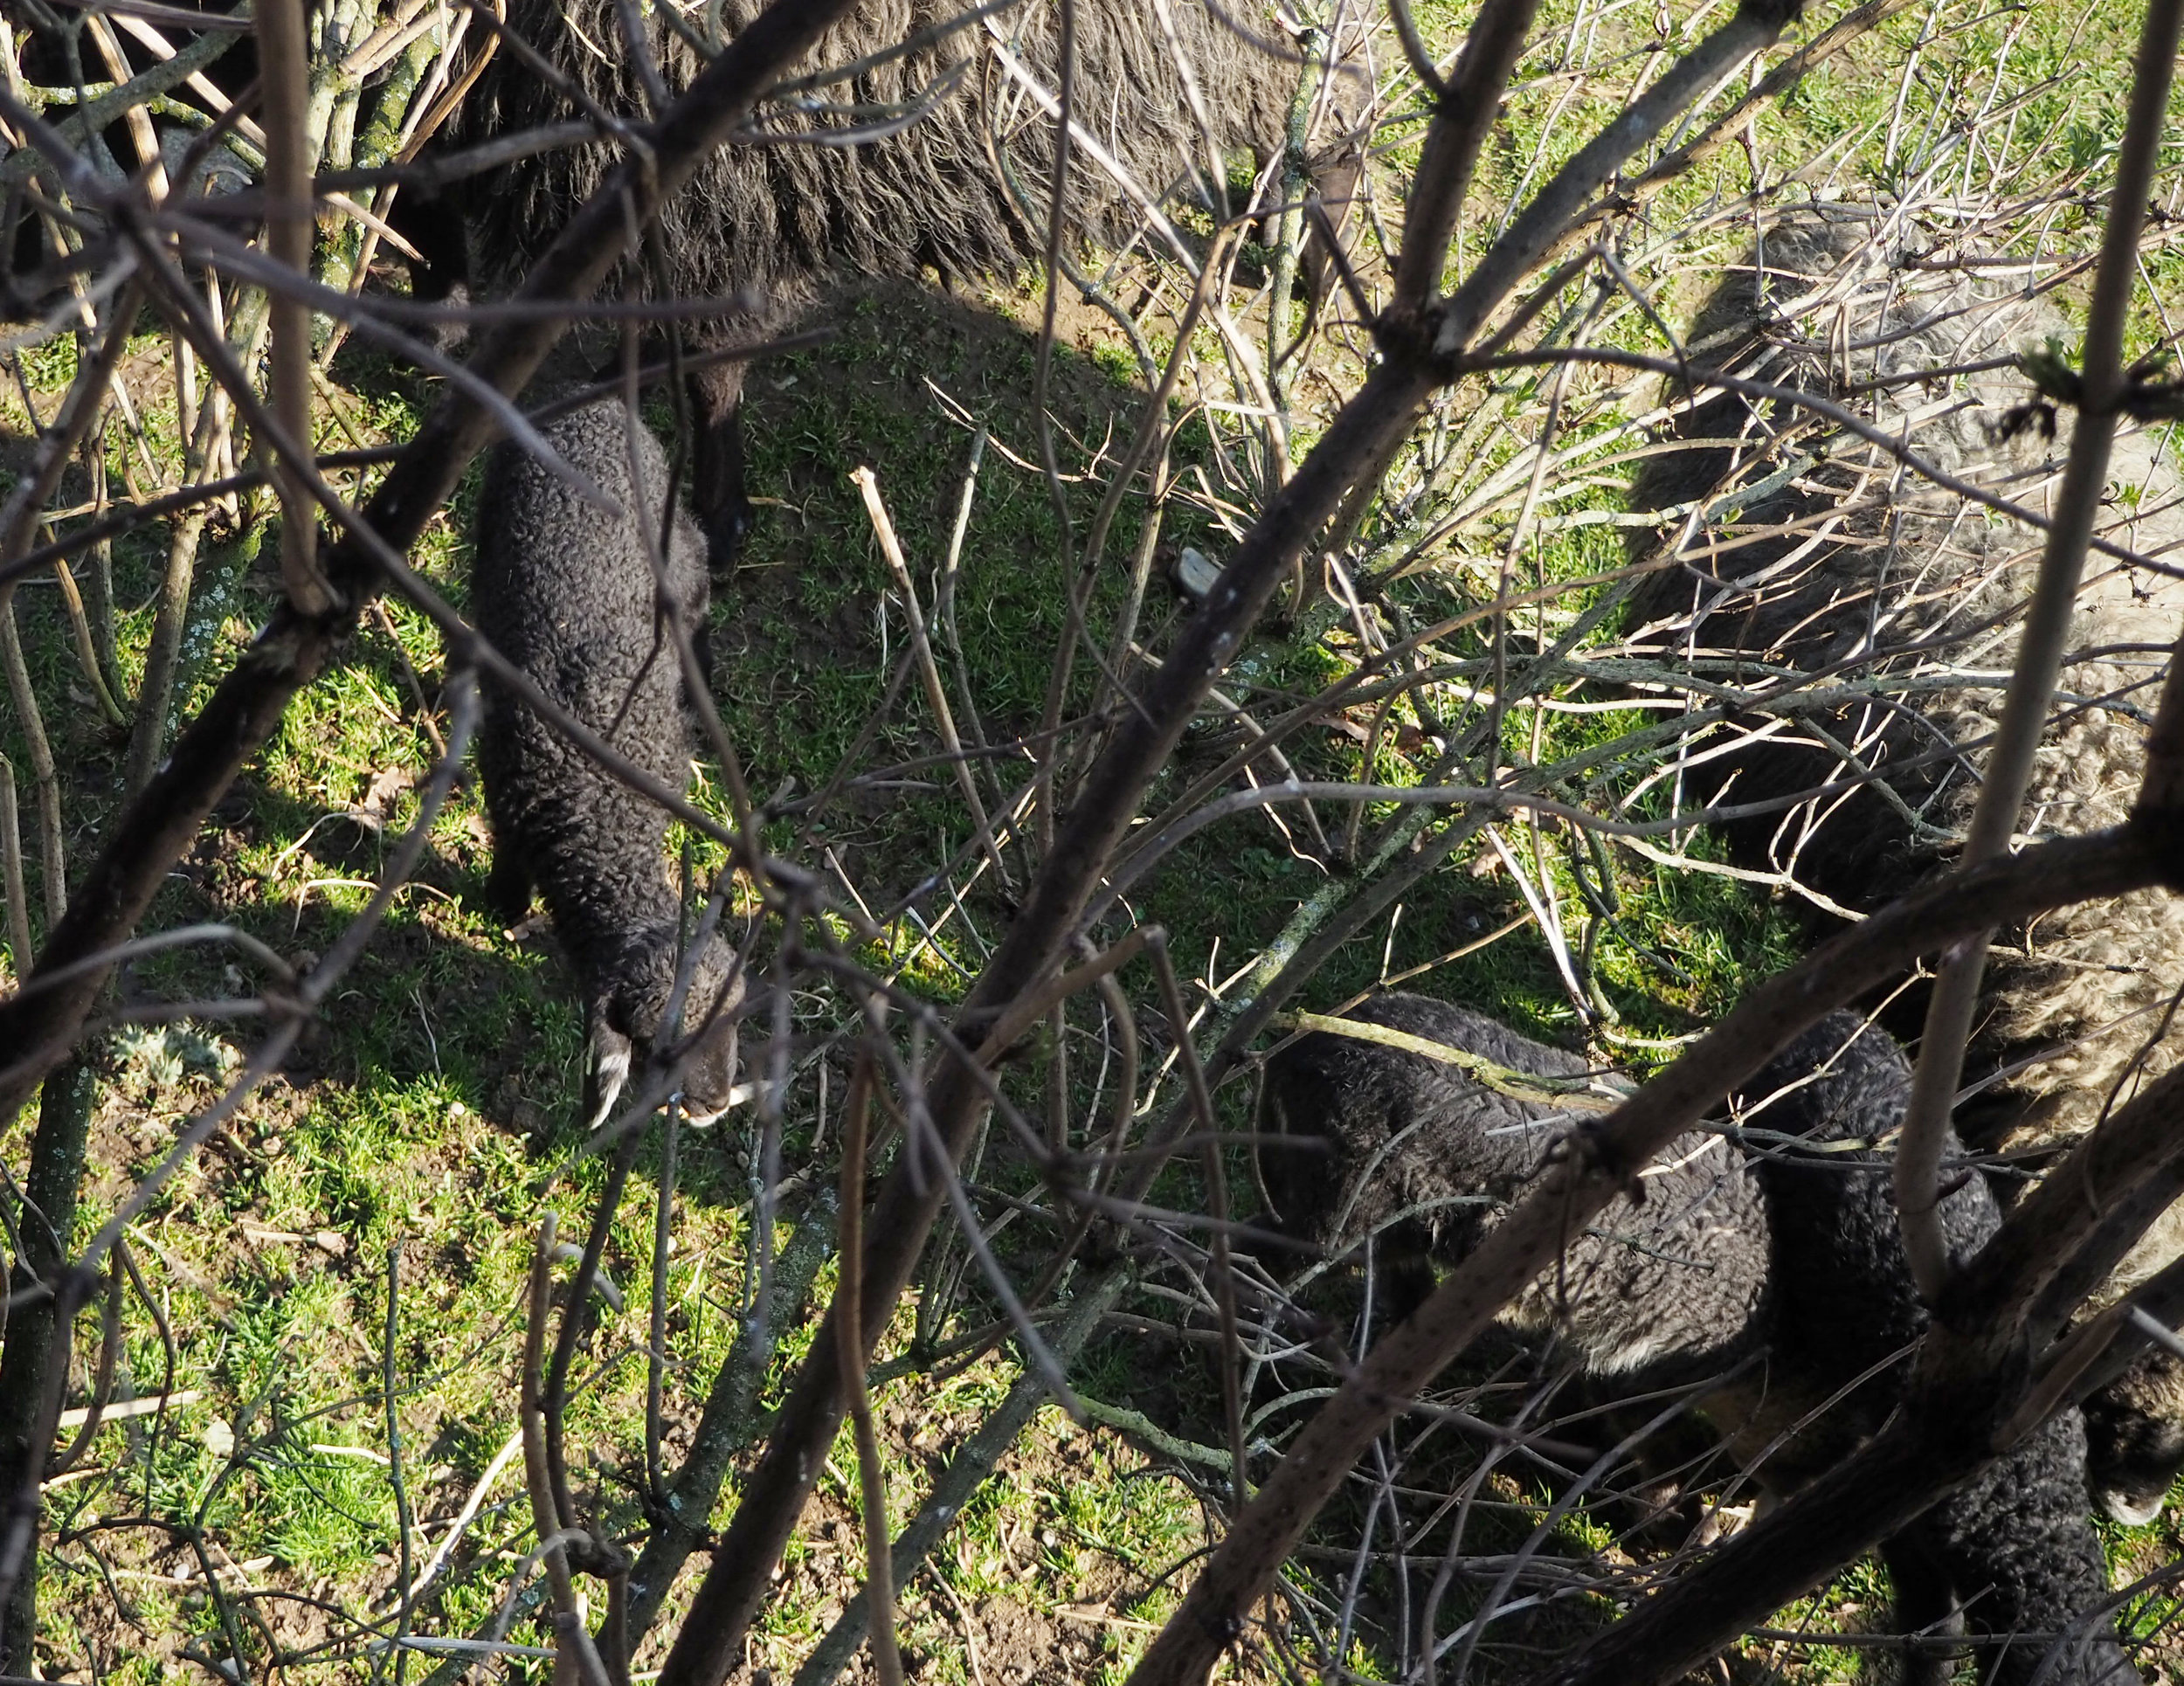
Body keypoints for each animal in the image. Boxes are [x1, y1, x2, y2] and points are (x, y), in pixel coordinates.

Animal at [444, 0, 1368, 559]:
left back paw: (1318, 279)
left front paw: (723, 516)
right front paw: (617, 385)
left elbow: (715, 373)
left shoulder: (732, 220)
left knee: (1337, 134)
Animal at [471, 397, 744, 1126]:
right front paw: (503, 906)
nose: (715, 1105)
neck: (602, 805)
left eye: (736, 1021)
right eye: (659, 1048)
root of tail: (596, 406)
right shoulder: (508, 789)